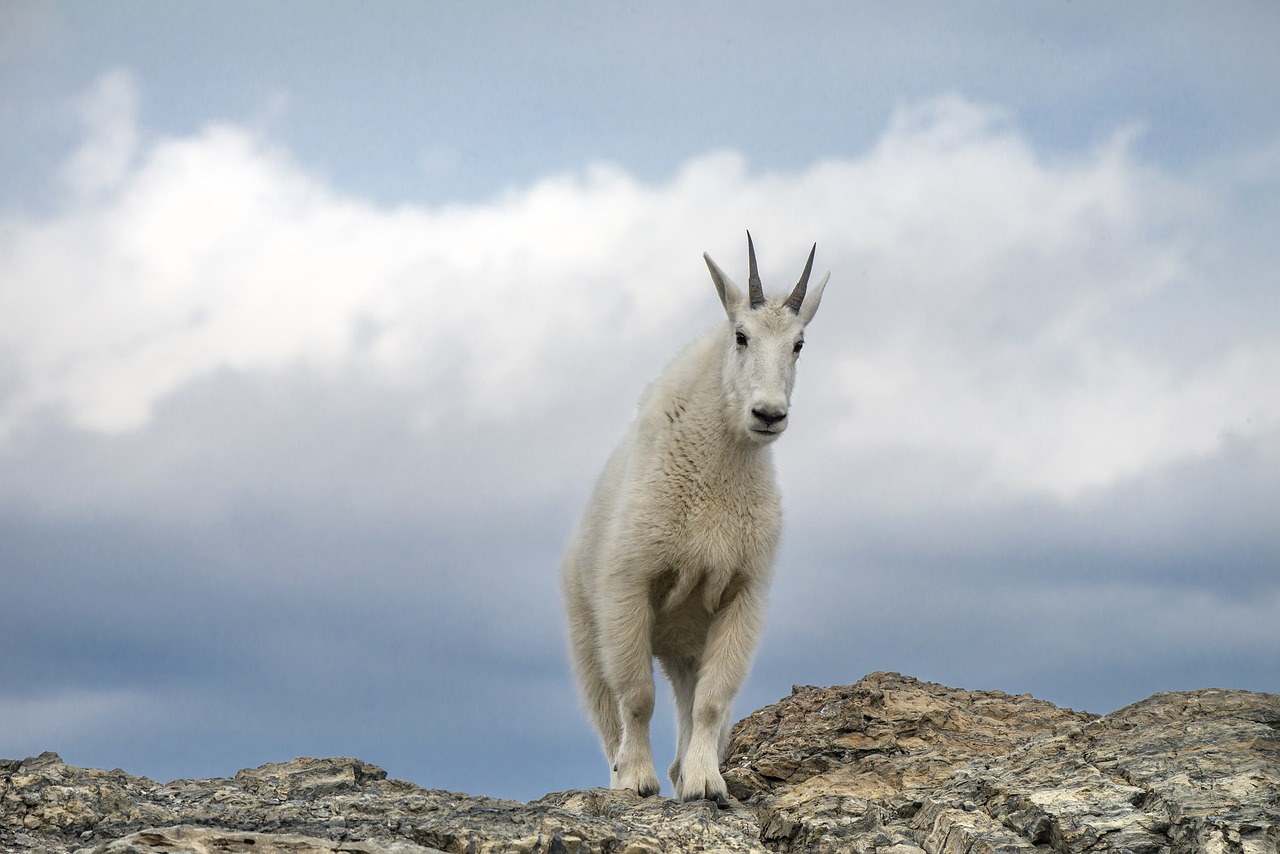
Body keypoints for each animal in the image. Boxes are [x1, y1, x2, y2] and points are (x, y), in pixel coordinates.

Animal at [563, 234, 829, 809]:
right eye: (741, 336)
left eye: (799, 344)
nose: (768, 414)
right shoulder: (629, 588)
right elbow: (637, 696)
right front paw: (638, 781)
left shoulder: (741, 594)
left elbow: (711, 701)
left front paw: (706, 784)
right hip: (585, 632)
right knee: (607, 713)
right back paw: (622, 773)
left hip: (686, 644)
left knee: (689, 699)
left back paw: (684, 770)